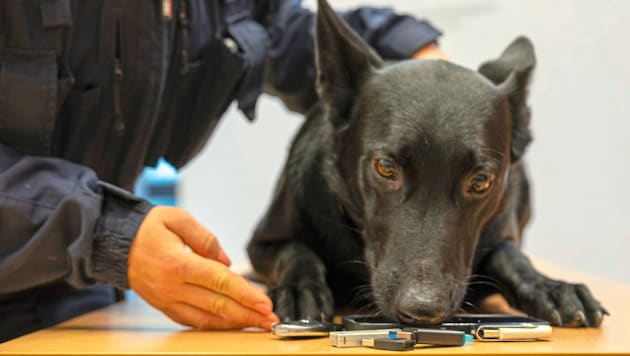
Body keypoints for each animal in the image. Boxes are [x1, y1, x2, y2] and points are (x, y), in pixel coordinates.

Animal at [247, 0, 608, 328]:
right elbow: (296, 252)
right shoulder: (262, 243)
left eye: (480, 182)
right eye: (385, 167)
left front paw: (549, 286)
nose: (421, 310)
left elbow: (509, 254)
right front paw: (299, 289)